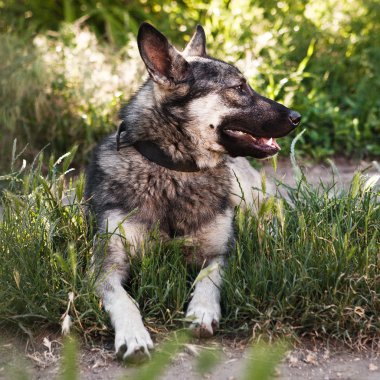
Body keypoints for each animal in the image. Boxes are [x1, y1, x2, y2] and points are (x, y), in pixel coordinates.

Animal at [85, 22, 300, 360]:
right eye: (240, 88)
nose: (297, 117)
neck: (175, 171)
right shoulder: (106, 266)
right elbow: (123, 299)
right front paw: (133, 334)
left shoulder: (219, 253)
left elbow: (208, 278)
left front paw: (201, 311)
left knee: (274, 207)